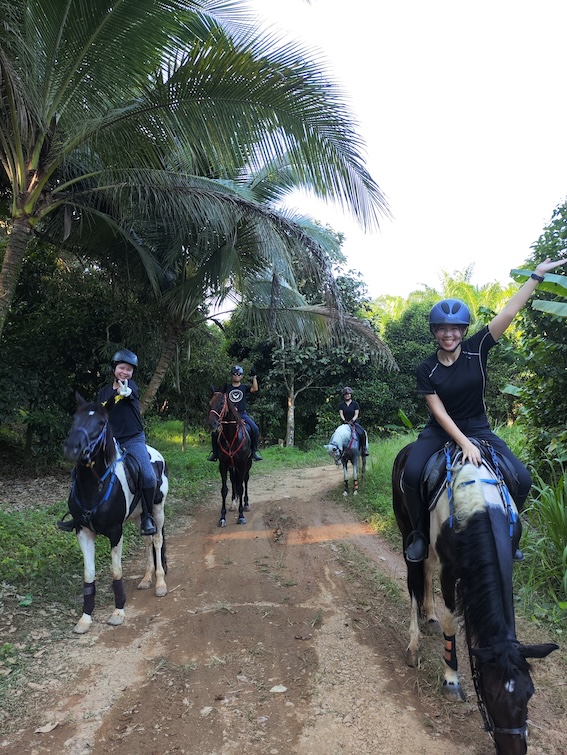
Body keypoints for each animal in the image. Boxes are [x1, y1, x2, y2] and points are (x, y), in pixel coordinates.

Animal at [63, 398, 169, 636]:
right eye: (75, 418)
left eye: (101, 423)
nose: (72, 448)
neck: (94, 487)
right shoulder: (82, 531)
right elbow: (88, 573)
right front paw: (85, 618)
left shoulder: (115, 531)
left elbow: (116, 571)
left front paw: (118, 612)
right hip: (141, 516)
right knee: (147, 541)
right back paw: (147, 578)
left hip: (158, 510)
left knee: (157, 541)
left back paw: (160, 583)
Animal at [209, 392, 253, 528]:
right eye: (210, 403)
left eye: (222, 403)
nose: (212, 423)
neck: (230, 435)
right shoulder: (223, 465)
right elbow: (224, 490)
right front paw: (222, 517)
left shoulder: (242, 464)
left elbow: (241, 487)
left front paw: (241, 516)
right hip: (232, 467)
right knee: (234, 481)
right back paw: (234, 503)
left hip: (248, 464)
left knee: (245, 481)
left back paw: (246, 504)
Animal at [392, 440, 556, 752]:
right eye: (491, 695)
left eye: (529, 693)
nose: (514, 751)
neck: (478, 507)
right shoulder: (450, 571)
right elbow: (451, 623)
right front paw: (451, 682)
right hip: (407, 530)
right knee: (414, 577)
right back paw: (414, 644)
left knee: (427, 567)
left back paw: (429, 616)